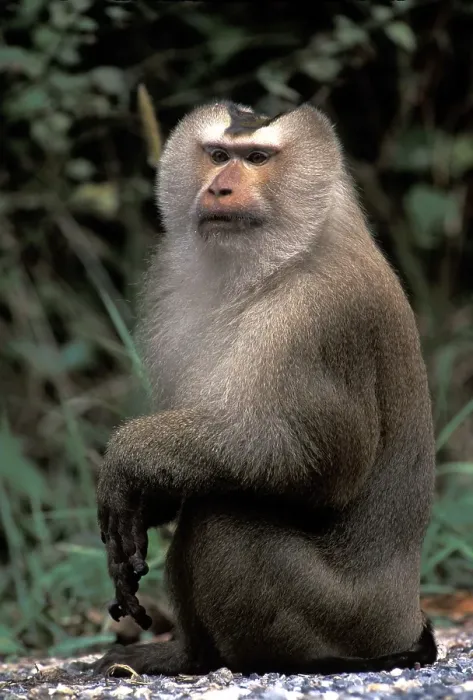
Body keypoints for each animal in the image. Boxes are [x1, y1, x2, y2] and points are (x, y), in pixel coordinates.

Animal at [94, 101, 438, 677]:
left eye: (256, 158)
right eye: (218, 155)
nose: (220, 189)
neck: (279, 260)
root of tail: (404, 621)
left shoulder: (316, 318)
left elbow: (314, 458)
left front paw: (126, 459)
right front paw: (139, 499)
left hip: (341, 616)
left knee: (224, 520)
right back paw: (186, 656)